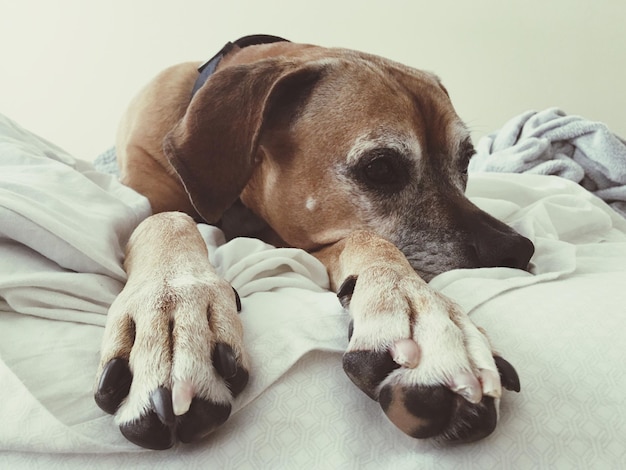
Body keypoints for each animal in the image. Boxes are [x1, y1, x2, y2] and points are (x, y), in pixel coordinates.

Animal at [92, 35, 532, 450]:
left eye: (467, 161)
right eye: (381, 168)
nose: (517, 250)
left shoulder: (300, 241)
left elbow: (370, 243)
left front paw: (424, 313)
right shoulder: (144, 198)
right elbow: (165, 221)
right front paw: (173, 315)